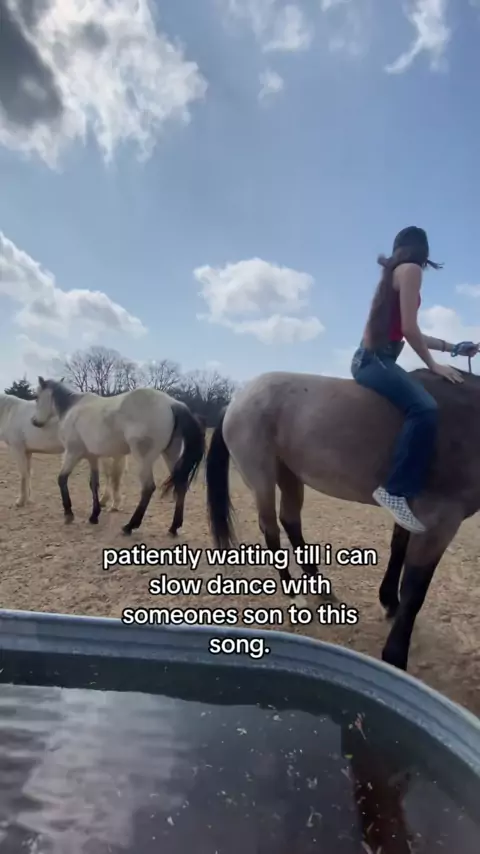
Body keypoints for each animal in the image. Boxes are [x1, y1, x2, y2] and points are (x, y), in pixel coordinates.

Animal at [32, 377, 206, 536]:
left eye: (37, 397)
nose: (34, 421)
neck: (73, 408)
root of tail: (172, 403)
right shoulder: (92, 457)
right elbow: (94, 484)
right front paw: (94, 516)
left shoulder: (72, 453)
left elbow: (62, 479)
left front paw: (69, 514)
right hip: (171, 455)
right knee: (181, 485)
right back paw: (174, 527)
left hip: (144, 459)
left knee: (148, 488)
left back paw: (130, 526)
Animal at [205, 367, 480, 672]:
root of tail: (235, 400)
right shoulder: (440, 520)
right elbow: (415, 587)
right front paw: (395, 655)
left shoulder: (411, 512)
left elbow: (398, 551)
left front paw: (390, 603)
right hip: (262, 476)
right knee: (271, 530)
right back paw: (294, 594)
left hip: (289, 475)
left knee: (290, 521)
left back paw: (320, 587)